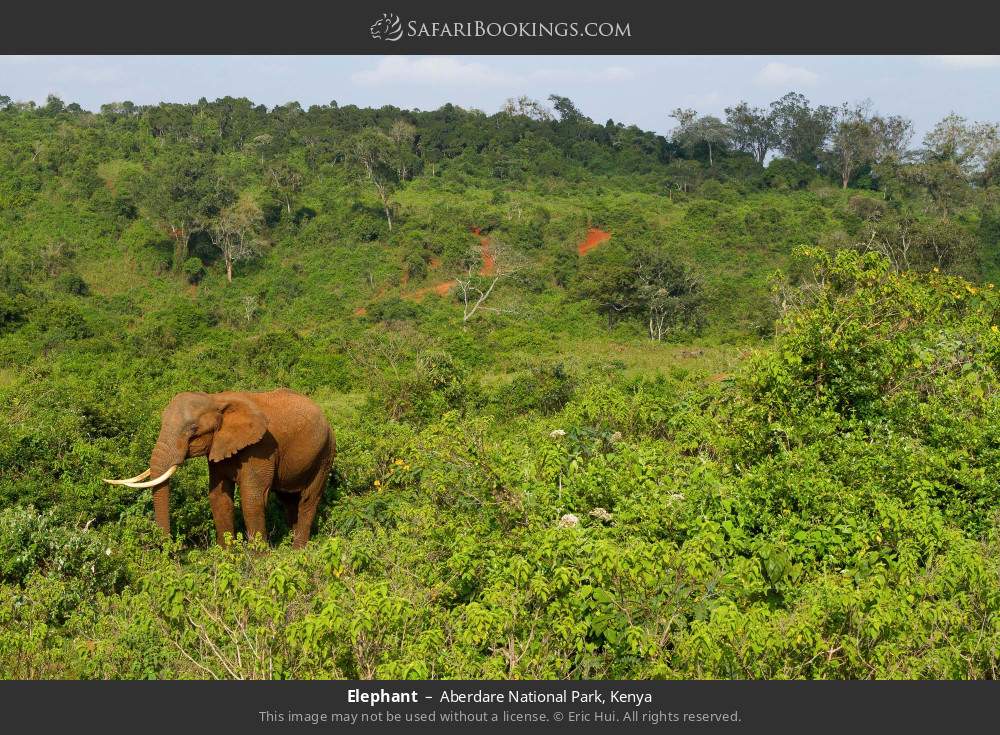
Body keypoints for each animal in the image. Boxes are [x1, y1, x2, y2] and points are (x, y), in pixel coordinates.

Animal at [107, 388, 336, 548]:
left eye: (193, 430)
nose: (168, 550)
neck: (216, 399)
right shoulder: (218, 448)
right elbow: (218, 498)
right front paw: (226, 558)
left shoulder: (261, 447)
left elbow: (252, 499)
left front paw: (259, 562)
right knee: (289, 501)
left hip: (325, 454)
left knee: (308, 500)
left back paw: (298, 552)